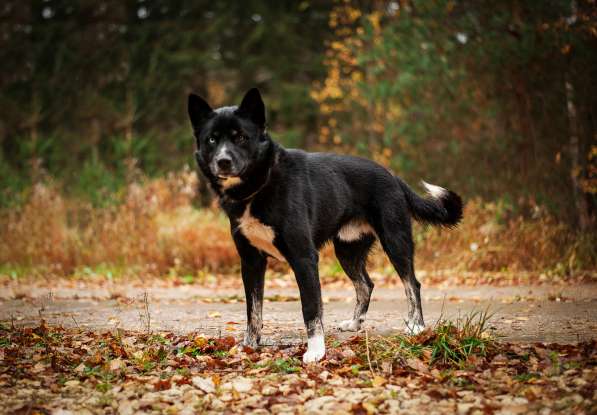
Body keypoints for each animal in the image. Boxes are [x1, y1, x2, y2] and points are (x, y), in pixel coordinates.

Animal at [186, 88, 460, 364]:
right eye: (212, 140)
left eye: (241, 137)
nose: (223, 161)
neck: (261, 184)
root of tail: (393, 176)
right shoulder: (251, 261)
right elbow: (253, 310)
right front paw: (250, 346)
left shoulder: (304, 258)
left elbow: (310, 308)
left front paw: (316, 351)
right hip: (347, 250)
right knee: (366, 285)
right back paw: (355, 323)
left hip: (395, 241)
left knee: (411, 283)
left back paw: (417, 326)